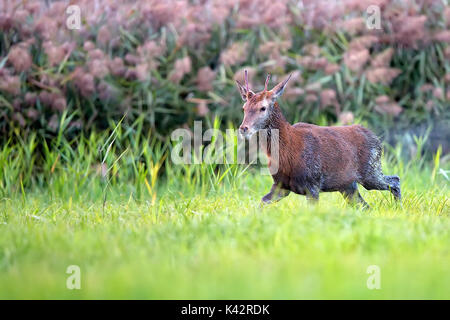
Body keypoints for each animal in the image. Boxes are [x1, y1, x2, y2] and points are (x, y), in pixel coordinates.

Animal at [236, 70, 400, 208]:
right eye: (244, 108)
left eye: (263, 108)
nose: (244, 128)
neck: (287, 151)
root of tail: (377, 139)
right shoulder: (281, 185)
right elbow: (261, 203)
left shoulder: (312, 183)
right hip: (348, 185)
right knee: (365, 206)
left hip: (370, 170)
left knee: (395, 180)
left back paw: (399, 207)